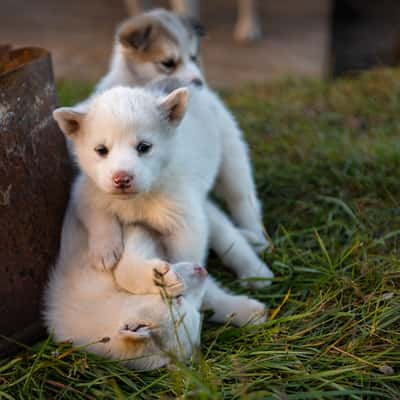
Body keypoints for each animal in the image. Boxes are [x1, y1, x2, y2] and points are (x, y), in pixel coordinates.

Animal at [54, 84, 272, 324]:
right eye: (101, 150)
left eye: (144, 147)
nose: (122, 179)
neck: (138, 200)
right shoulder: (85, 191)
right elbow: (98, 215)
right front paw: (105, 250)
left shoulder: (184, 219)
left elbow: (185, 254)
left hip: (231, 153)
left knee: (243, 198)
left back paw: (256, 253)